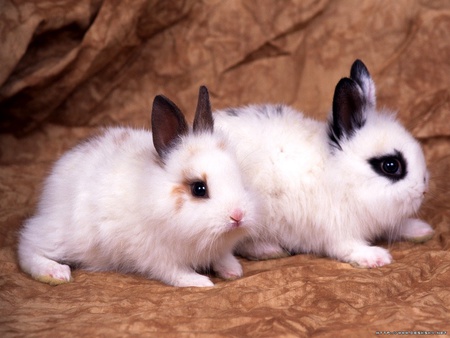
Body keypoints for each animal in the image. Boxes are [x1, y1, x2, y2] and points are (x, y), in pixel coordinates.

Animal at [18, 86, 260, 286]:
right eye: (199, 189)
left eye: (239, 177)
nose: (238, 216)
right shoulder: (156, 254)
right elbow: (174, 272)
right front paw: (199, 282)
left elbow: (222, 257)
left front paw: (233, 270)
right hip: (62, 235)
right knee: (27, 244)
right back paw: (55, 272)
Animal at [214, 59, 432, 268]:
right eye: (390, 166)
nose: (423, 190)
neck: (344, 177)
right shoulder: (337, 229)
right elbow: (347, 247)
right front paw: (375, 257)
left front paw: (422, 230)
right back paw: (268, 250)